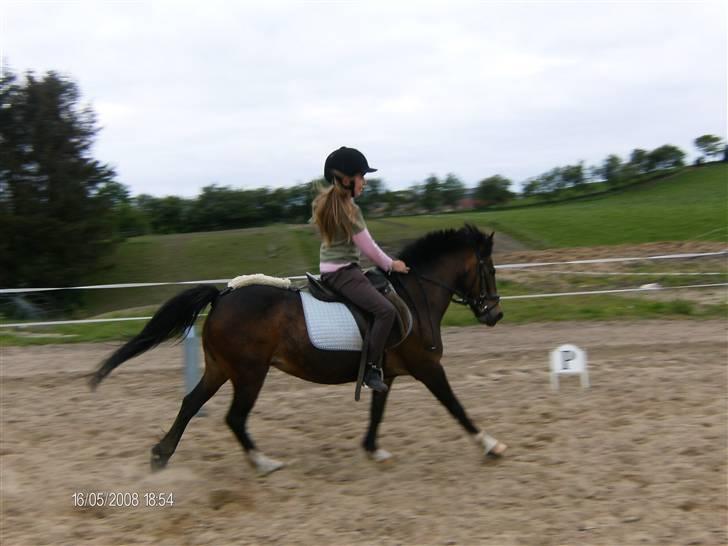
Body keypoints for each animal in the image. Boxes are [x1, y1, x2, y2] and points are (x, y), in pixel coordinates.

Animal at [88, 223, 504, 474]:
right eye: (490, 269)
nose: (495, 313)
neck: (415, 296)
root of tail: (222, 296)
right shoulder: (427, 367)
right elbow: (455, 406)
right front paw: (490, 444)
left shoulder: (386, 373)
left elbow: (377, 412)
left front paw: (373, 449)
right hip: (249, 374)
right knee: (234, 418)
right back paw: (263, 463)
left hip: (221, 369)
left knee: (191, 404)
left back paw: (161, 455)